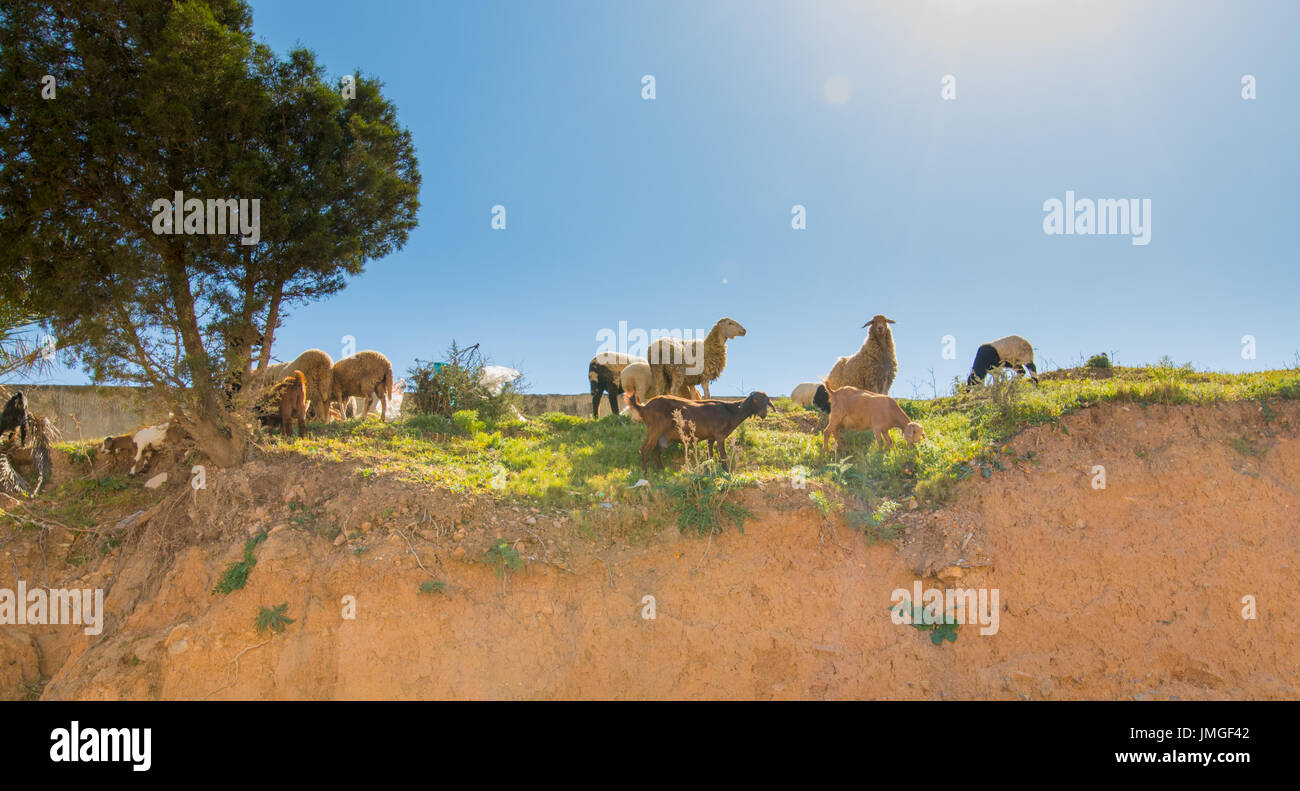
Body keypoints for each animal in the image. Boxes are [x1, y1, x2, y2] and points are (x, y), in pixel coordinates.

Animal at [624, 391, 772, 473]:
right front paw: (727, 472)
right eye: (756, 400)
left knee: (655, 452)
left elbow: (710, 455)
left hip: (663, 436)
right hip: (655, 429)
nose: (763, 414)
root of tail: (644, 408)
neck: (730, 411)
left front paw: (711, 469)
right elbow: (723, 456)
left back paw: (661, 471)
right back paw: (646, 473)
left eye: (767, 402)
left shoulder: (711, 438)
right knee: (644, 449)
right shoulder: (720, 436)